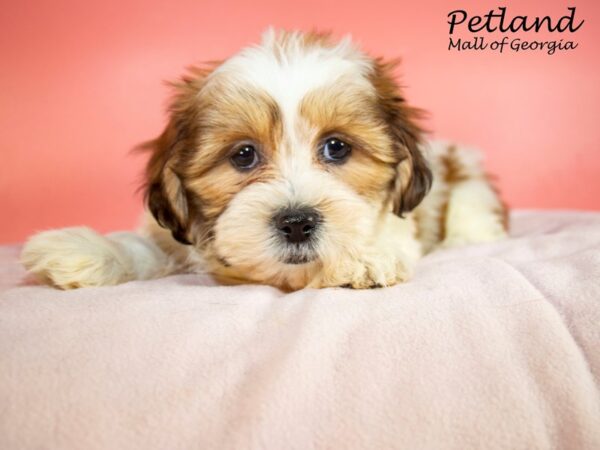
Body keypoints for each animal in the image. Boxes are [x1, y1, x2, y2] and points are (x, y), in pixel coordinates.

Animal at [21, 29, 506, 290]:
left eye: (337, 147)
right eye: (243, 155)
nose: (296, 223)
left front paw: (360, 258)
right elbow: (147, 244)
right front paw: (83, 249)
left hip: (469, 180)